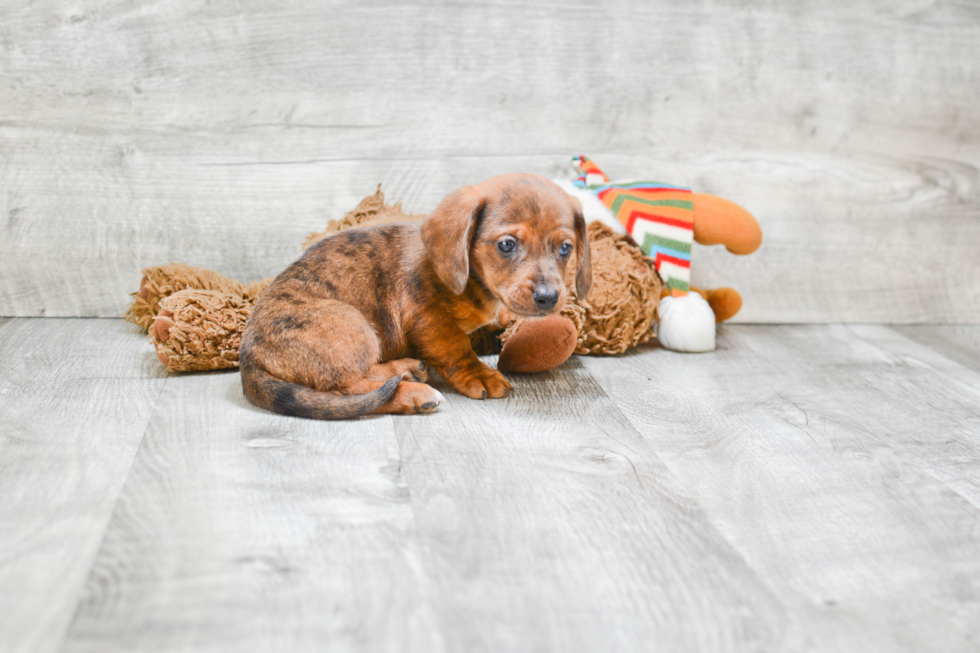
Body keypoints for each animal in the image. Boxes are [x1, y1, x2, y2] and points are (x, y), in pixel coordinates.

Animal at [239, 172, 588, 418]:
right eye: (507, 244)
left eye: (565, 248)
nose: (547, 298)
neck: (473, 281)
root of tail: (249, 359)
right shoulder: (429, 318)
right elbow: (457, 348)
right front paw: (479, 374)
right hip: (351, 323)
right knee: (349, 390)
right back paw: (414, 393)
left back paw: (406, 369)